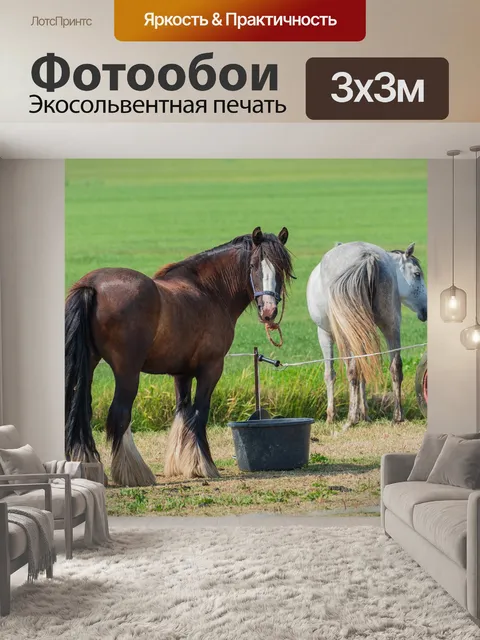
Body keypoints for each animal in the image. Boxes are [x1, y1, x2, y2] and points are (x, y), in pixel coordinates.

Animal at [65, 227, 292, 486]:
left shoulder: (181, 373)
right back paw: (134, 473)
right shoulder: (211, 368)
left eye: (281, 268)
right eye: (254, 265)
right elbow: (199, 413)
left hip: (89, 364)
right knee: (120, 414)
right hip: (127, 371)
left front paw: (183, 464)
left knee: (81, 411)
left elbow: (182, 413)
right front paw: (204, 465)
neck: (209, 291)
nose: (269, 311)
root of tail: (92, 285)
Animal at [306, 241, 427, 431]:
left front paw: (332, 416)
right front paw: (365, 414)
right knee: (395, 367)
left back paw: (350, 419)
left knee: (352, 371)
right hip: (390, 324)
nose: (426, 310)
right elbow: (365, 370)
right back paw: (397, 416)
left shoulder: (325, 334)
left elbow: (330, 374)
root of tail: (367, 256)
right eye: (417, 274)